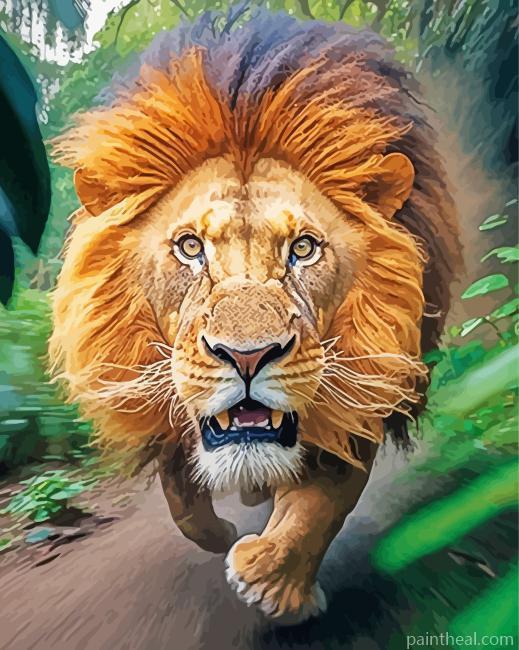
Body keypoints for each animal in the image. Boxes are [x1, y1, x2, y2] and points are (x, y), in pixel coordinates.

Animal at [50, 9, 461, 623]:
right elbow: (180, 494)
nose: (248, 357)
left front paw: (272, 578)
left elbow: (327, 498)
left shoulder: (372, 383)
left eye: (304, 249)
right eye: (190, 247)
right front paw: (219, 534)